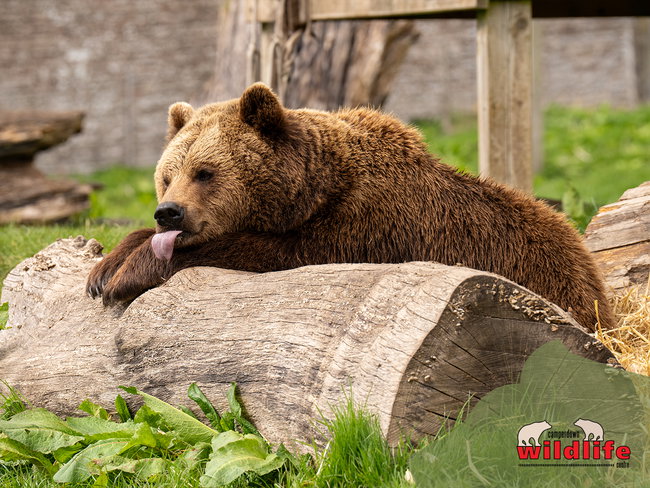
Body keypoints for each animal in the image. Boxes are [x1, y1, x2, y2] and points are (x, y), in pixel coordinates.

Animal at [87, 82, 614, 331]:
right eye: (167, 175)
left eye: (206, 172)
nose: (169, 212)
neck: (314, 191)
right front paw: (103, 268)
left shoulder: (368, 224)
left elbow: (261, 252)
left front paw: (127, 274)